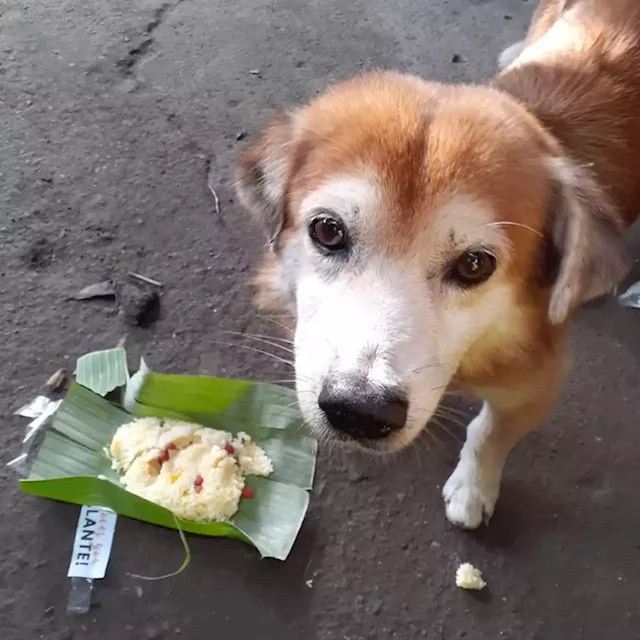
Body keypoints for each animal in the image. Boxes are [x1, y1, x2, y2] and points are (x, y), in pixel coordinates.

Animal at [236, 0, 640, 528]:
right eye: (328, 231)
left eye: (474, 264)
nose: (360, 411)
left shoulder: (537, 380)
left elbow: (490, 434)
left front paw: (473, 488)